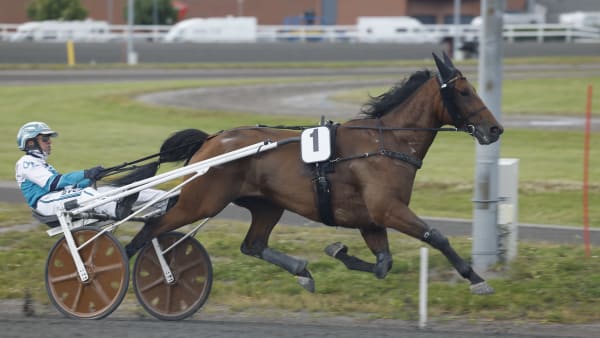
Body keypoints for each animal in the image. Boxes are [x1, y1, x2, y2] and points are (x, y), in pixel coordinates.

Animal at [124, 52, 504, 296]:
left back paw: (302, 272)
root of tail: (210, 140)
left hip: (267, 205)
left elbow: (383, 263)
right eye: (465, 91)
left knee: (253, 245)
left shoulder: (371, 219)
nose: (495, 129)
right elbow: (436, 236)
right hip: (200, 203)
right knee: (148, 231)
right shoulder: (388, 209)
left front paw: (338, 252)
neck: (385, 143)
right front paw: (476, 278)